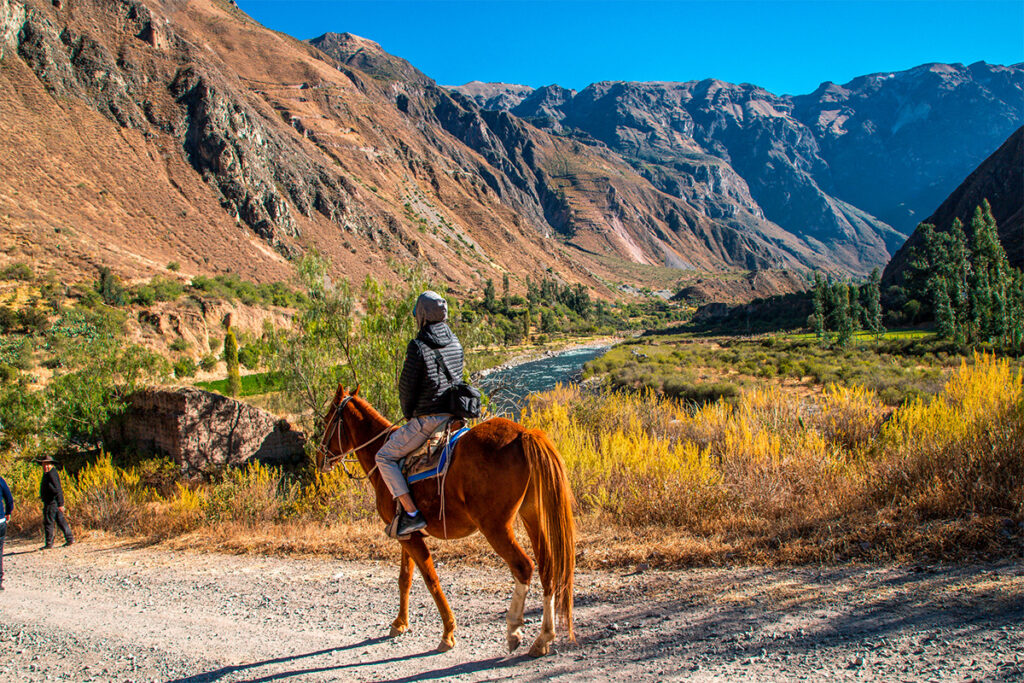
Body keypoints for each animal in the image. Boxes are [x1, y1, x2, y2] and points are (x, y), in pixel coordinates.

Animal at [317, 385, 577, 655]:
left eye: (327, 420)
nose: (319, 457)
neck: (382, 461)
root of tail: (524, 434)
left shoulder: (411, 539)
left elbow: (430, 579)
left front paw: (448, 633)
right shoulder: (406, 534)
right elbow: (405, 578)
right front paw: (400, 623)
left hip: (496, 527)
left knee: (523, 567)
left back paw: (514, 630)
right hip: (531, 516)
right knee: (548, 567)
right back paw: (543, 638)